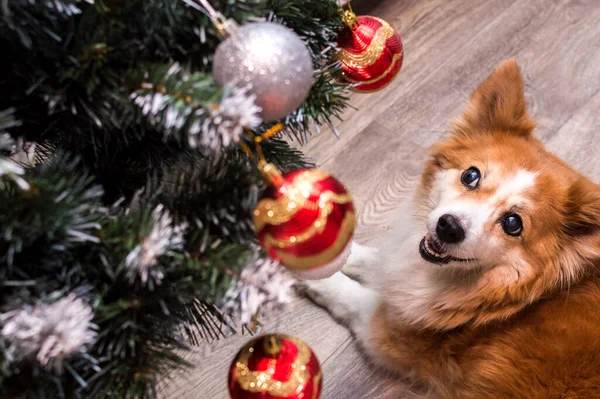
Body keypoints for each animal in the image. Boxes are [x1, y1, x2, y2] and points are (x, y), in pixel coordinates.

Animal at [304, 59, 600, 399]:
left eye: (513, 223)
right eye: (471, 175)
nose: (448, 227)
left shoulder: (390, 333)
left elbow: (351, 297)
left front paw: (313, 277)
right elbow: (377, 258)